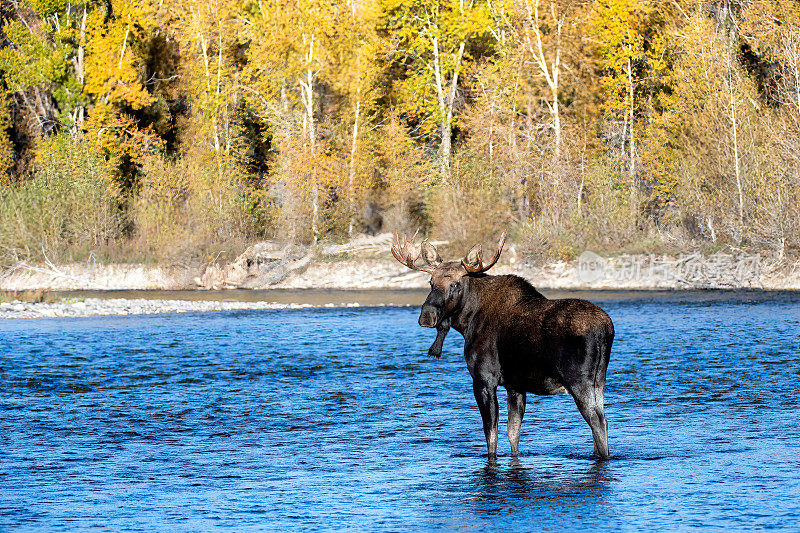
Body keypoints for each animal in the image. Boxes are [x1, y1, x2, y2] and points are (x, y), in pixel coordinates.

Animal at [392, 231, 612, 460]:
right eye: (430, 281)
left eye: (455, 284)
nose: (427, 316)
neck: (466, 323)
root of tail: (606, 328)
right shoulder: (515, 385)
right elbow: (513, 433)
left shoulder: (484, 380)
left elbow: (491, 435)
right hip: (599, 381)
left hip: (579, 381)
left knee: (599, 423)